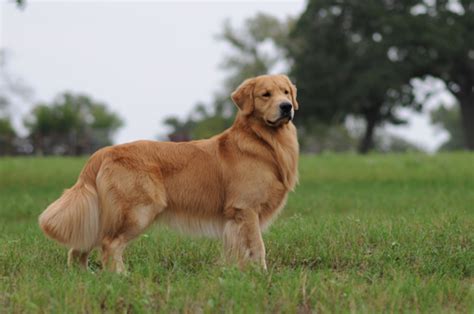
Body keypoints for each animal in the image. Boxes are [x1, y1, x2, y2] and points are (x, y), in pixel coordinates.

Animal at [40, 74, 300, 272]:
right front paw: (262, 276)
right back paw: (121, 277)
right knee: (109, 245)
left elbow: (243, 251)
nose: (286, 107)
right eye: (266, 94)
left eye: (286, 92)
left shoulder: (238, 218)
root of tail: (102, 152)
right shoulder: (245, 209)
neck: (264, 141)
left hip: (102, 216)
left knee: (79, 248)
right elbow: (258, 248)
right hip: (138, 211)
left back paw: (83, 277)